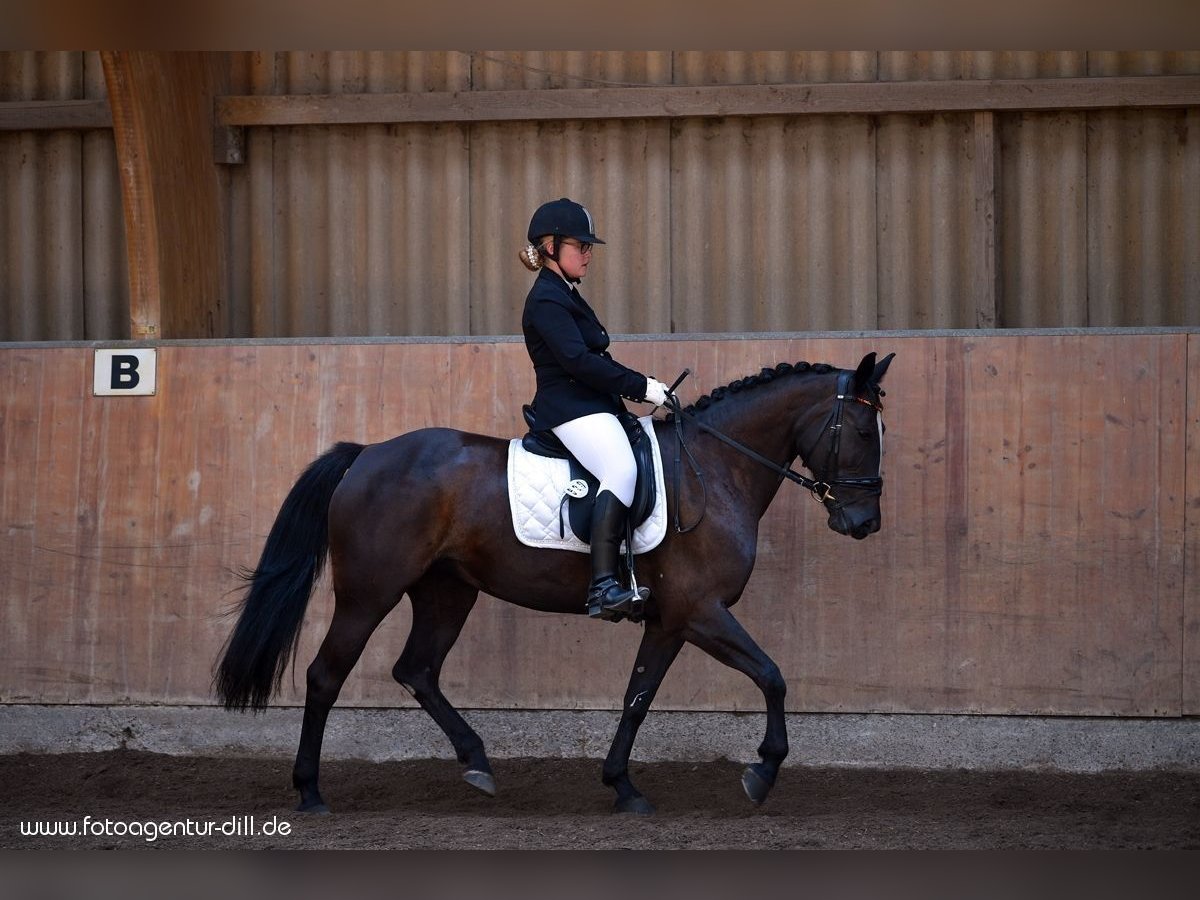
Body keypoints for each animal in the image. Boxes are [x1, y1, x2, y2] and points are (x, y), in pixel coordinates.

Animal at [216, 352, 892, 816]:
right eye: (863, 433)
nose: (863, 523)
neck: (716, 470)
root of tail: (367, 453)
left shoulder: (670, 620)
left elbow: (638, 697)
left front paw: (622, 786)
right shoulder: (702, 611)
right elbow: (772, 676)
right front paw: (762, 772)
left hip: (446, 591)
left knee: (417, 670)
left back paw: (478, 763)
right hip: (368, 594)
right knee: (326, 675)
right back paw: (310, 792)